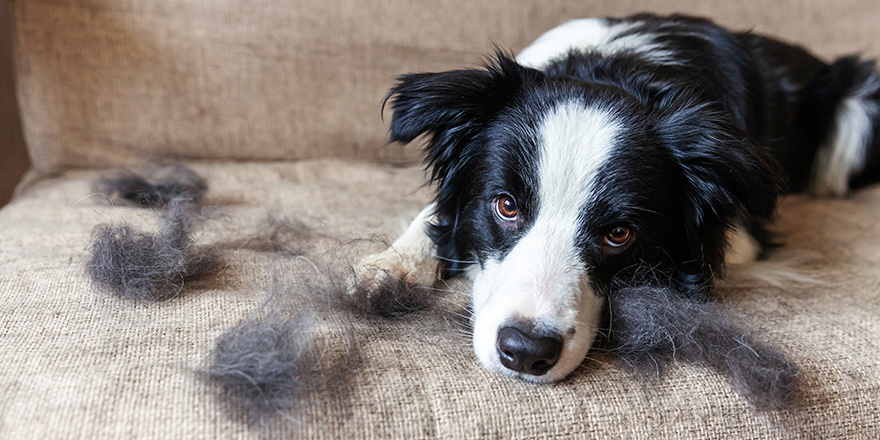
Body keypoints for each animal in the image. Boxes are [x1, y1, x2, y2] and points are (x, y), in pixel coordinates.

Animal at [352, 13, 880, 384]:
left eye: (619, 234)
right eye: (506, 206)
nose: (525, 352)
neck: (615, 72)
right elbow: (436, 215)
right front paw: (392, 266)